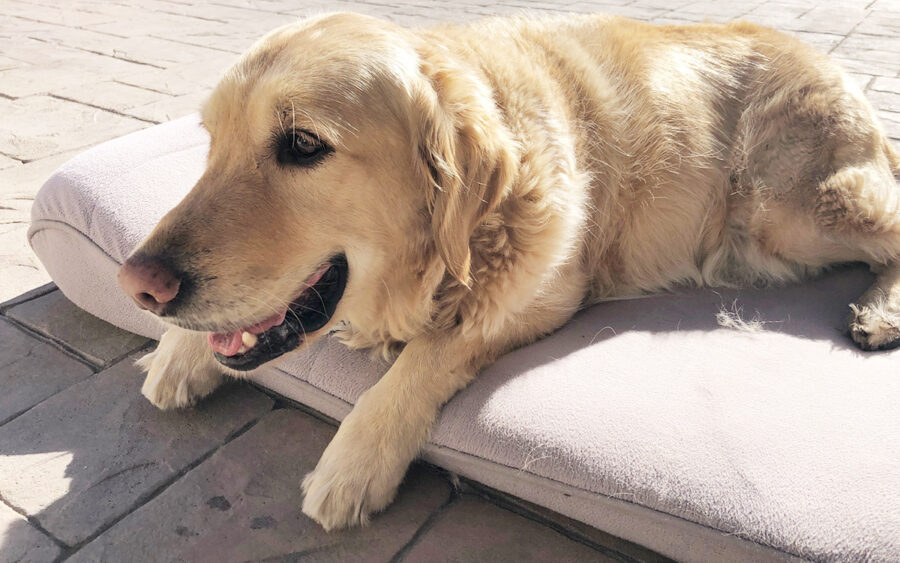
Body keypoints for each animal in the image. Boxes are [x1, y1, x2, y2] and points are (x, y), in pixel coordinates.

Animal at [116, 14, 900, 532]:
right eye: (211, 141)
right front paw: (179, 352)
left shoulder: (542, 297)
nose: (140, 285)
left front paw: (352, 462)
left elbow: (426, 356)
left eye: (303, 144)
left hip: (787, 208)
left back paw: (880, 311)